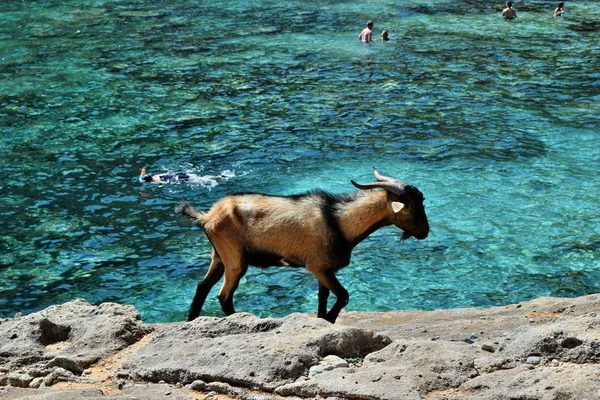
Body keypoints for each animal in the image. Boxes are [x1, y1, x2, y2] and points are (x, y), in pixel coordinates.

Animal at [176, 167, 428, 324]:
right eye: (409, 207)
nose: (425, 232)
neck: (338, 221)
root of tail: (207, 217)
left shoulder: (323, 270)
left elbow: (323, 298)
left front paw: (322, 320)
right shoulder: (318, 266)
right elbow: (343, 296)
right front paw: (329, 319)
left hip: (219, 255)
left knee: (202, 286)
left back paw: (190, 321)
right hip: (235, 258)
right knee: (224, 295)